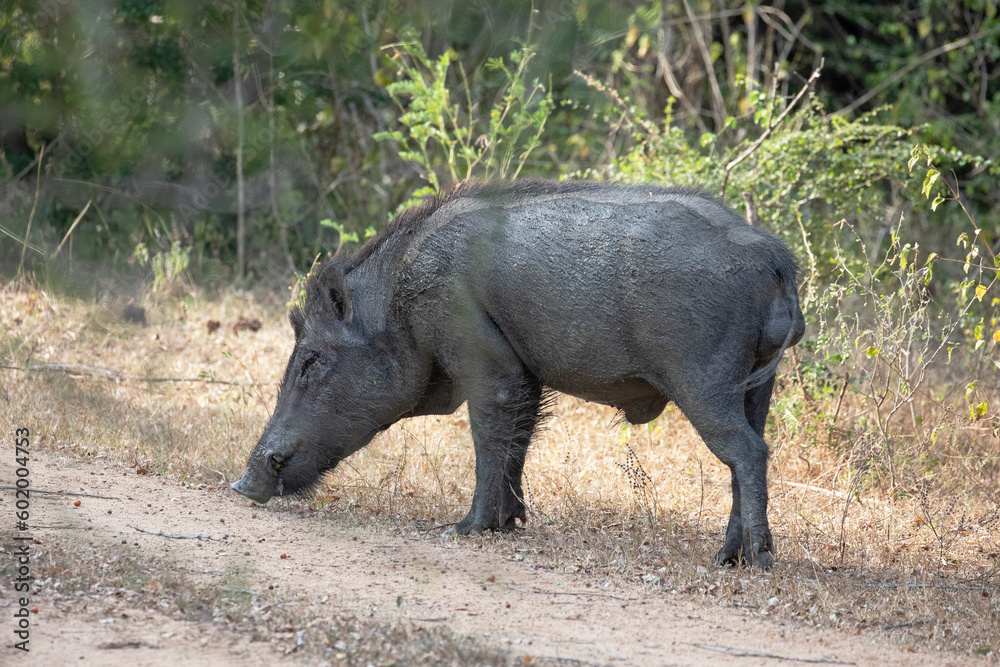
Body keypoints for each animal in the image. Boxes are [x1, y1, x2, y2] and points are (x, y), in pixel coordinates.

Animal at [232, 179, 805, 569]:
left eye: (310, 360)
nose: (242, 485)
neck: (399, 301)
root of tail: (773, 256)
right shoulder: (526, 374)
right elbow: (518, 442)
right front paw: (509, 526)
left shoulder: (489, 363)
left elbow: (489, 439)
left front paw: (463, 530)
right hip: (758, 384)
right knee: (749, 452)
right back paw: (729, 556)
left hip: (705, 380)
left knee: (748, 452)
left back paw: (753, 560)